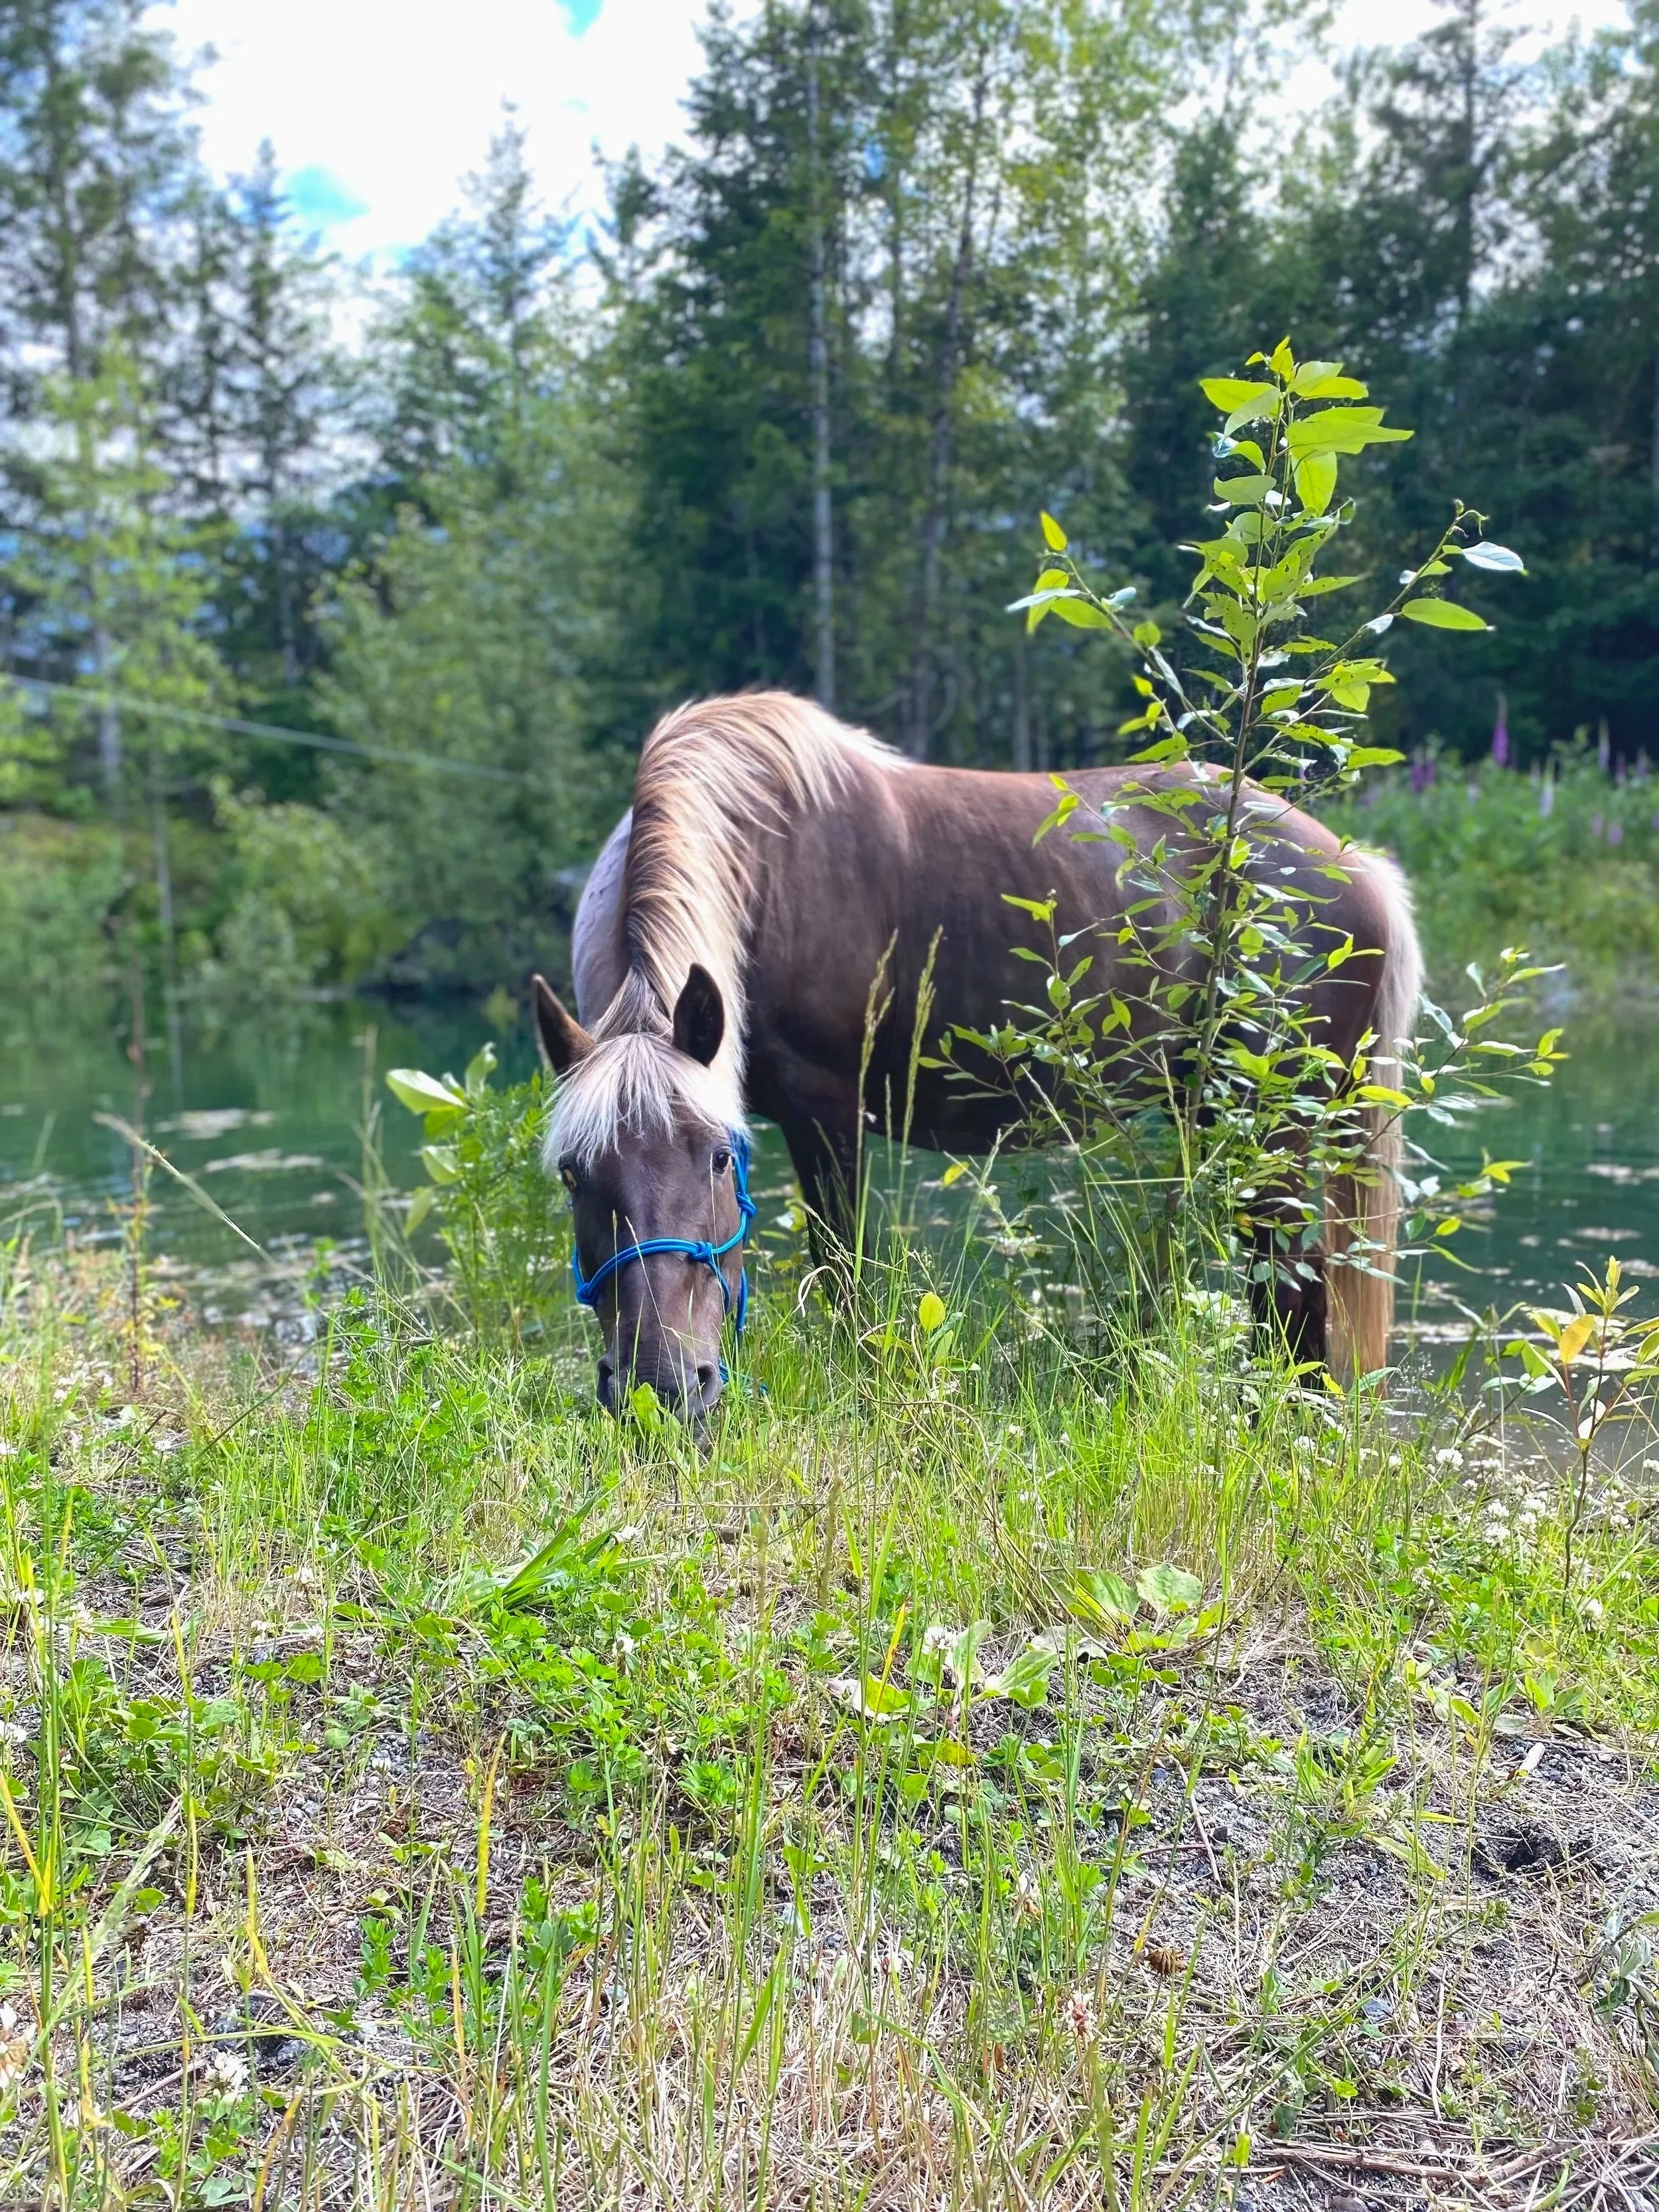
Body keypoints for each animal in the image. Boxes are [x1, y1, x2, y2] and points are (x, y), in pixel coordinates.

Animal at [530, 692, 1422, 1417]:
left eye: (719, 1158)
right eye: (574, 1174)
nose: (659, 1386)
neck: (763, 864)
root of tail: (1356, 867)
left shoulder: (827, 1112)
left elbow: (846, 1280)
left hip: (1273, 1129)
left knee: (1293, 1291)